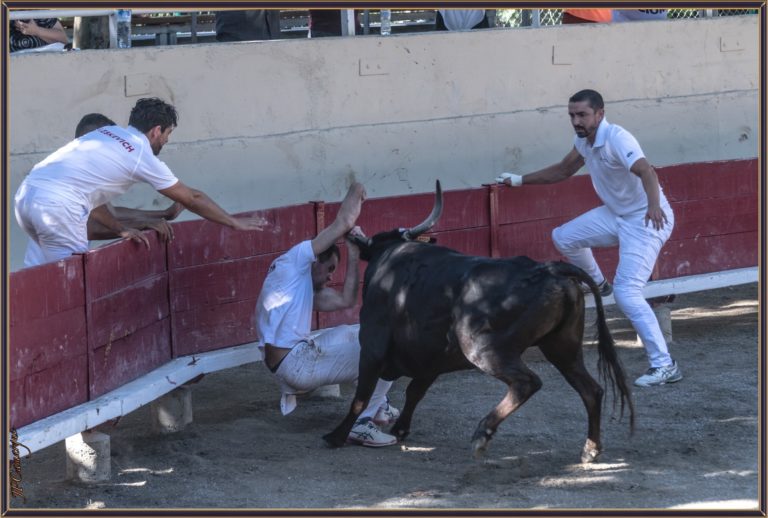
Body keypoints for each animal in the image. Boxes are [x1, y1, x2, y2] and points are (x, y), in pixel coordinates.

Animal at [320, 182, 632, 464]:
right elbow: (414, 391)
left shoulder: (372, 347)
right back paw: (590, 449)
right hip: (562, 346)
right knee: (591, 389)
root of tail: (548, 268)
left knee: (527, 382)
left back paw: (483, 433)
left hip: (483, 348)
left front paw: (336, 436)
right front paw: (400, 429)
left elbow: (362, 396)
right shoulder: (431, 358)